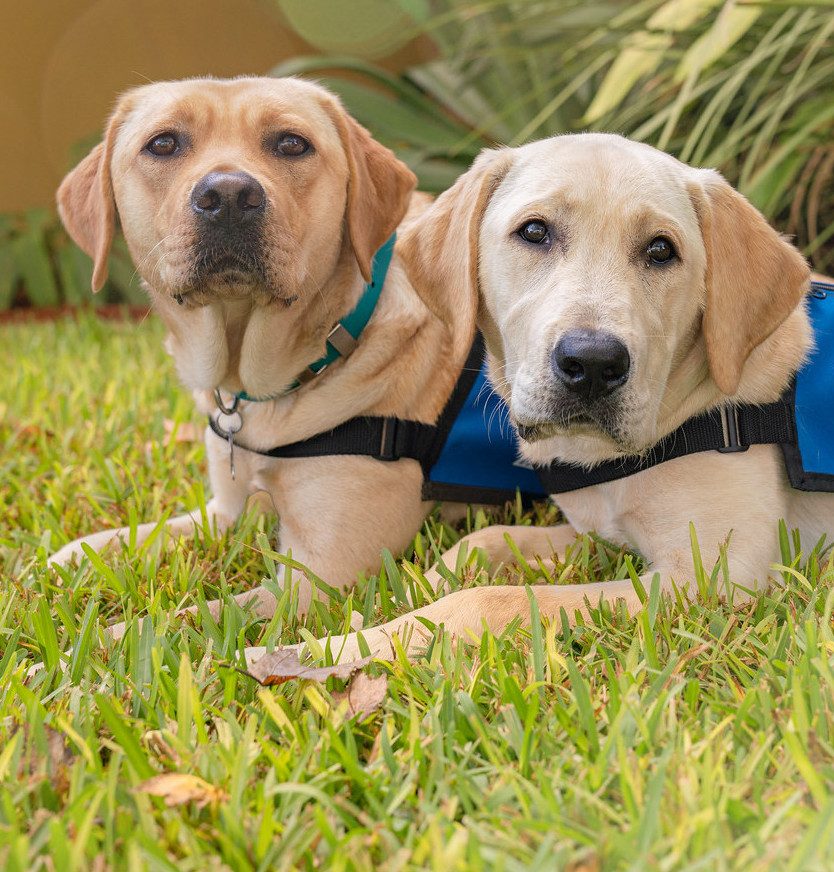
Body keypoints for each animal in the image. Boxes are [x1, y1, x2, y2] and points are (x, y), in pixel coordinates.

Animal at [53, 76, 480, 632]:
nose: (228, 195)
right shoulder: (224, 511)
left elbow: (186, 621)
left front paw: (107, 640)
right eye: (163, 143)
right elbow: (143, 534)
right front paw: (70, 557)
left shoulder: (322, 576)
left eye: (291, 144)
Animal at [270, 131, 828, 660]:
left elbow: (491, 599)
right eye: (534, 232)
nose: (594, 365)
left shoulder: (714, 574)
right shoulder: (591, 532)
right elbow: (482, 539)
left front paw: (331, 648)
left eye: (661, 250)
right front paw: (393, 601)